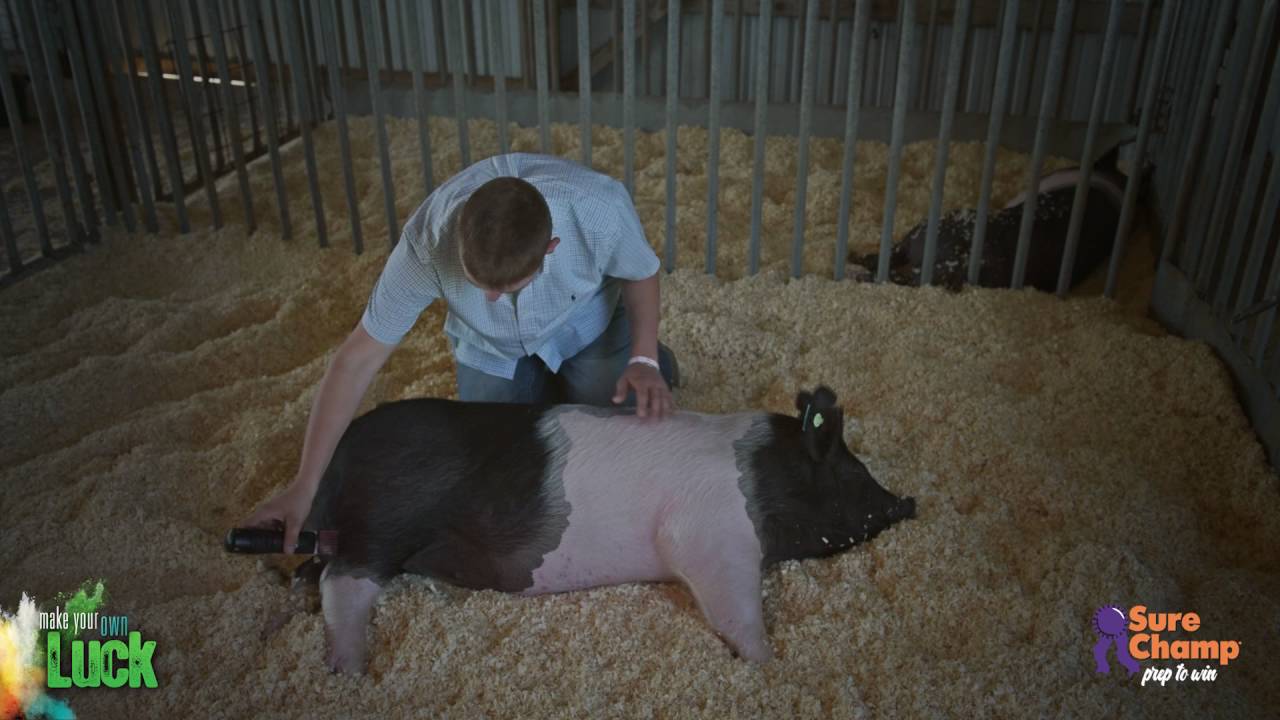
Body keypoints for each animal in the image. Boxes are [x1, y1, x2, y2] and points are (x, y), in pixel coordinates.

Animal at [300, 386, 915, 673]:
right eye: (855, 474)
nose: (908, 501)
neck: (765, 476)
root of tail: (335, 456)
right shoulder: (711, 532)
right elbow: (734, 606)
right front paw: (769, 663)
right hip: (384, 523)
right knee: (342, 582)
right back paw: (349, 670)